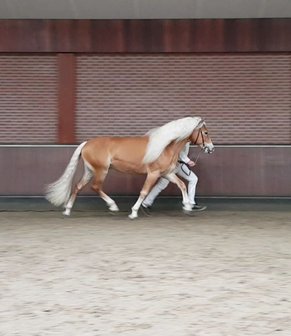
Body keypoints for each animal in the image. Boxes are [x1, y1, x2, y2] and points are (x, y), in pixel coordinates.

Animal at [45, 117, 214, 219]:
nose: (211, 149)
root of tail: (87, 143)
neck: (165, 146)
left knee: (78, 187)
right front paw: (133, 212)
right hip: (101, 171)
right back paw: (113, 206)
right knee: (95, 187)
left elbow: (182, 185)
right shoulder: (153, 174)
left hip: (90, 171)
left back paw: (68, 210)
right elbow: (144, 192)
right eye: (205, 132)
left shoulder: (167, 174)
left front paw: (187, 206)